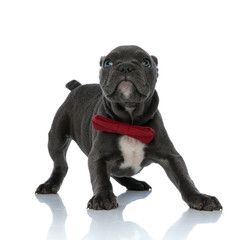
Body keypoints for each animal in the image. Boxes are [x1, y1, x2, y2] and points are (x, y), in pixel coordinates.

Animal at [34, 45, 222, 210]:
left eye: (146, 62)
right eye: (108, 63)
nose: (125, 67)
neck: (129, 122)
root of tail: (77, 86)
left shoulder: (170, 156)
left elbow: (184, 178)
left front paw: (200, 197)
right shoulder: (99, 156)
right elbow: (100, 176)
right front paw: (102, 198)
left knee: (117, 174)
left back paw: (135, 183)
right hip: (57, 138)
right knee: (61, 164)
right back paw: (50, 185)